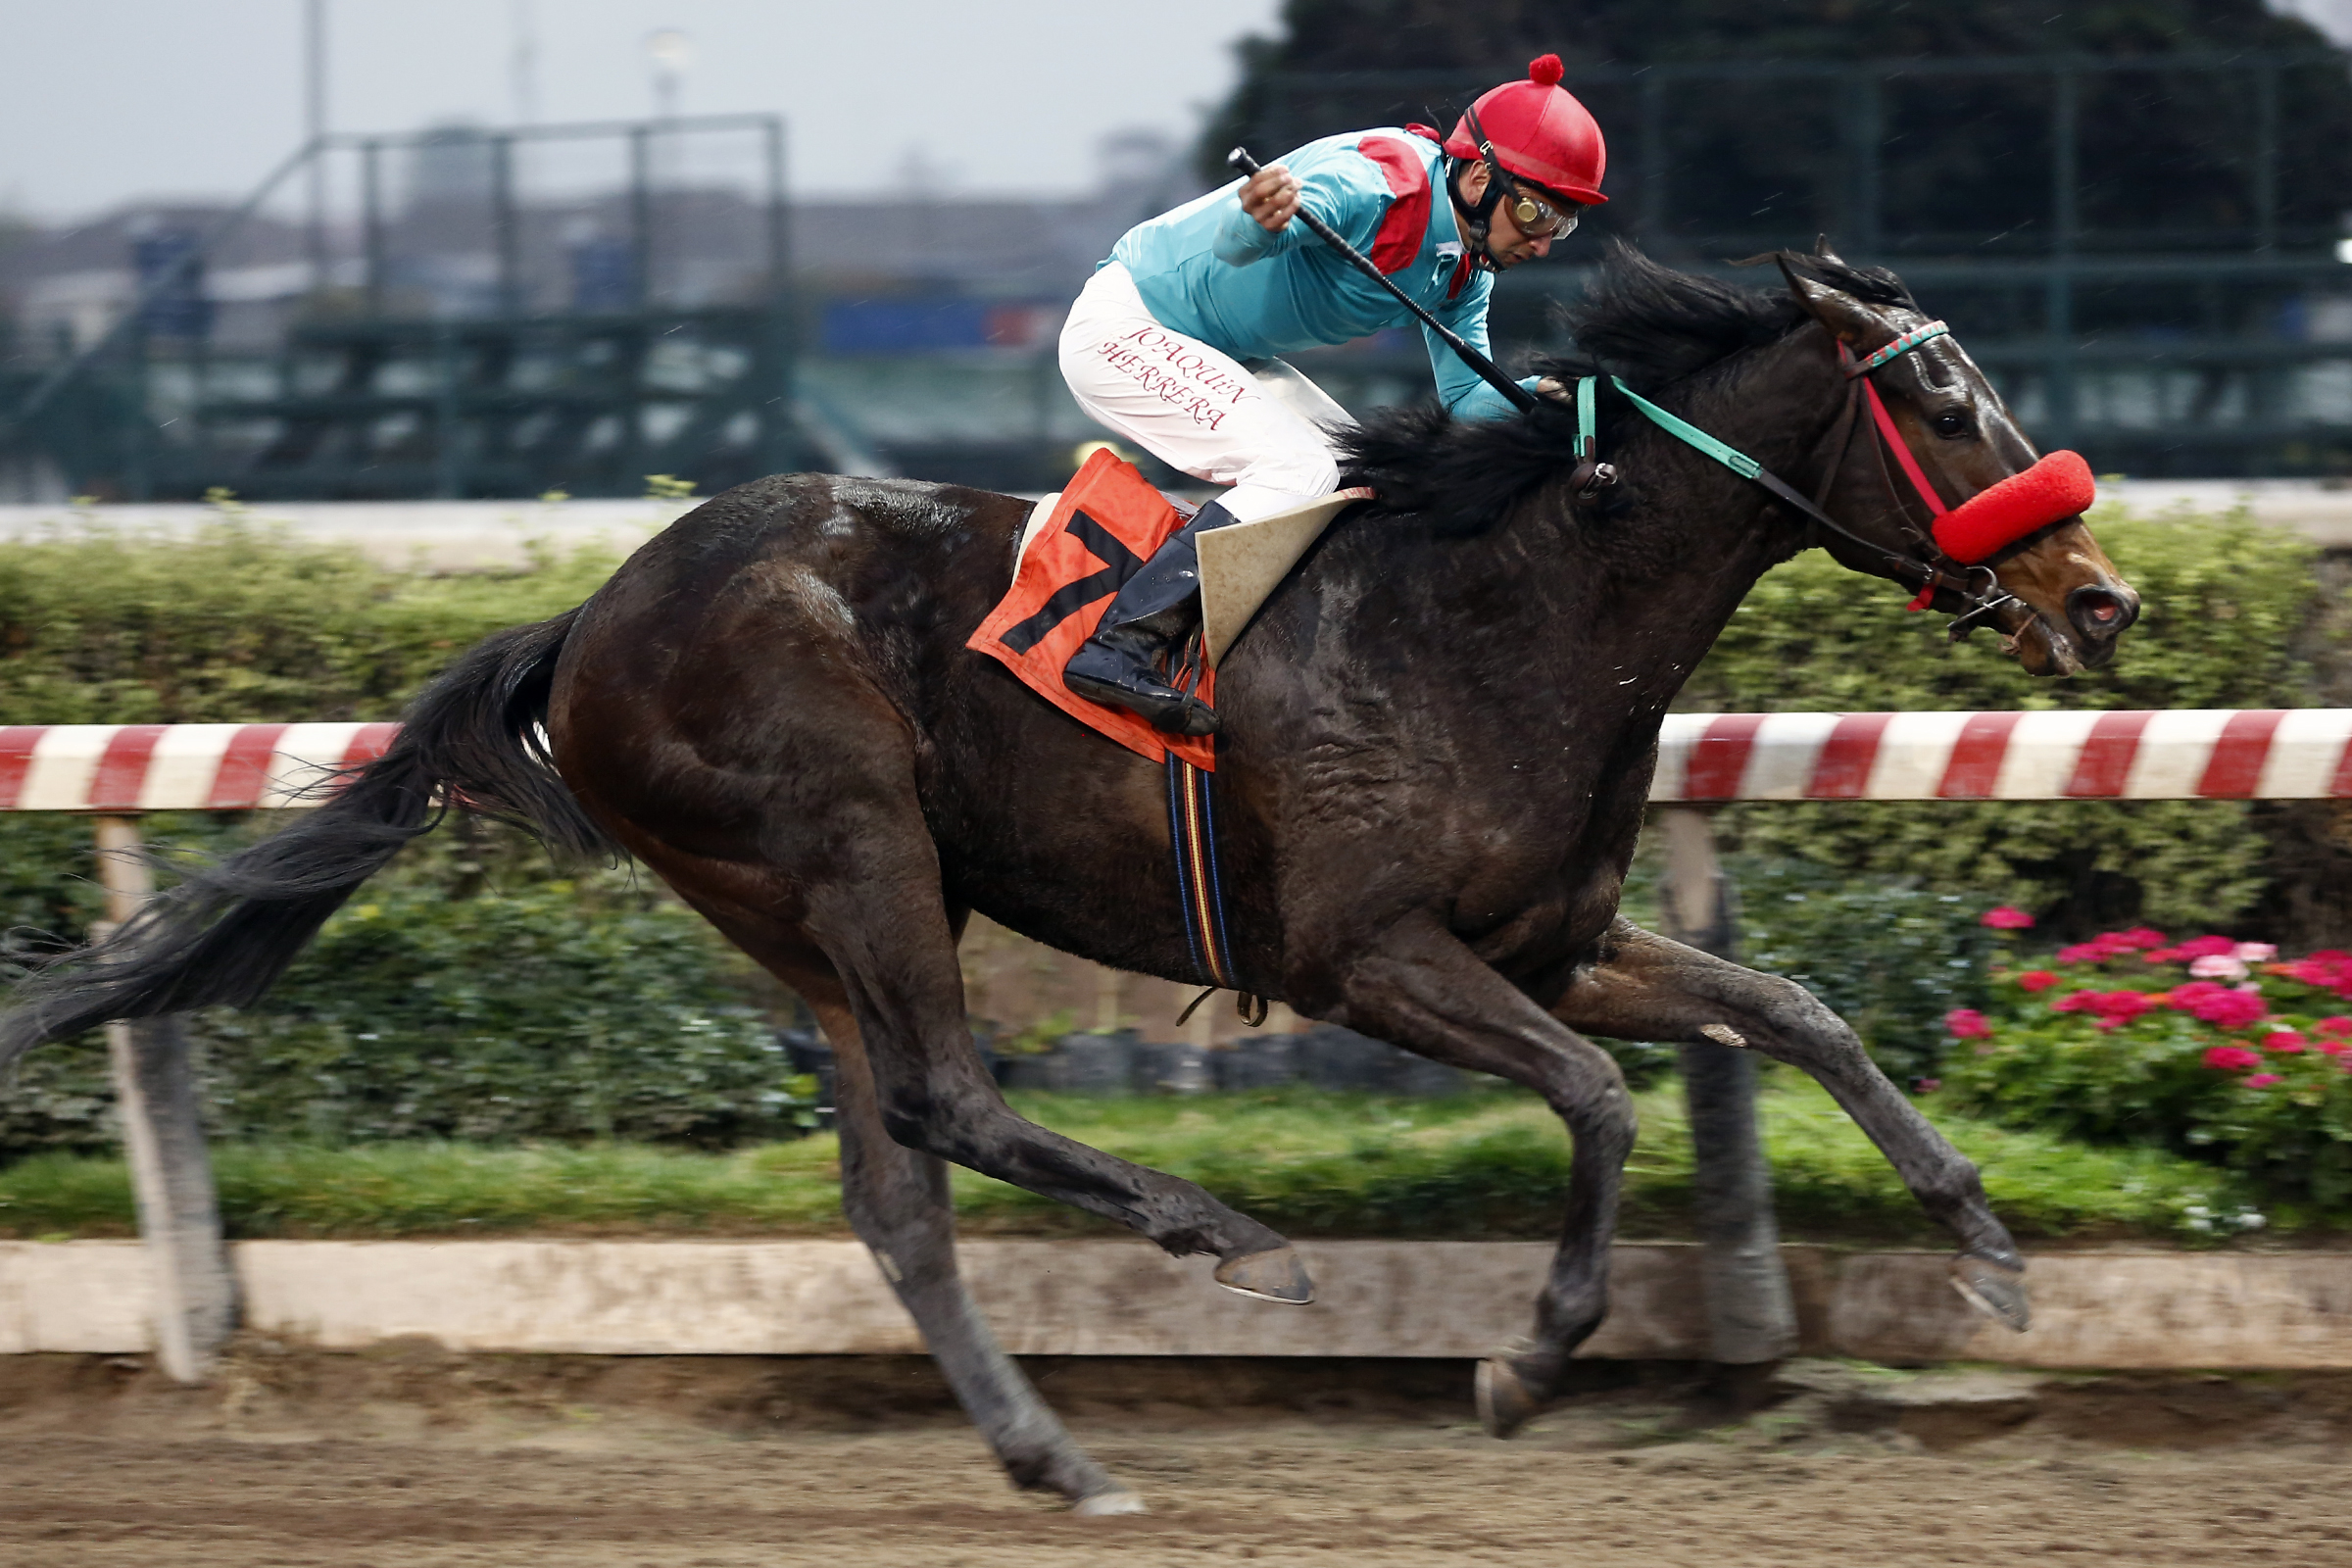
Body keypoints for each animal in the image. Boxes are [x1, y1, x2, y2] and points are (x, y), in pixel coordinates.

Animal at [1, 245, 2138, 1515]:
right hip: (850, 838)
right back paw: (1224, 1234)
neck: (1507, 610)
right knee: (954, 1102)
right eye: (1946, 400)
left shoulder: (1555, 940)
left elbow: (1793, 1011)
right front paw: (1527, 1356)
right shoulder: (1367, 953)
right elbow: (1606, 1098)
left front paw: (1986, 1242)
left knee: (898, 1190)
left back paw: (1053, 1449)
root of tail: (593, 613)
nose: (2103, 595)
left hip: (807, 915)